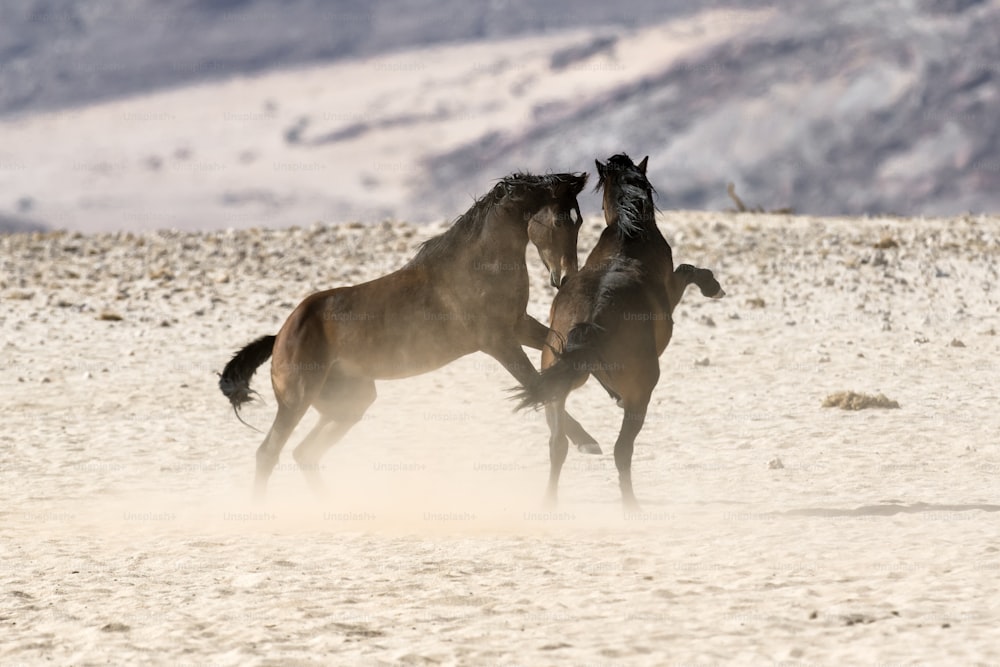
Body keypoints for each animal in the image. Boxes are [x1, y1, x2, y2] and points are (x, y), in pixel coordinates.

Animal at [221, 174, 600, 500]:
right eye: (558, 221)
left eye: (579, 221)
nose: (565, 278)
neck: (477, 267)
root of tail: (280, 336)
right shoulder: (498, 342)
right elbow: (535, 383)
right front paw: (586, 441)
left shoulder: (519, 326)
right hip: (297, 399)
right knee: (269, 453)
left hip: (350, 402)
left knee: (305, 453)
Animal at [516, 155, 728, 512]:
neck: (628, 239)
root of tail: (593, 315)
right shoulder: (672, 290)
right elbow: (687, 270)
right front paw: (712, 285)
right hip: (640, 393)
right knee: (621, 450)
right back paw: (631, 506)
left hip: (559, 384)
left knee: (557, 444)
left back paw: (549, 503)